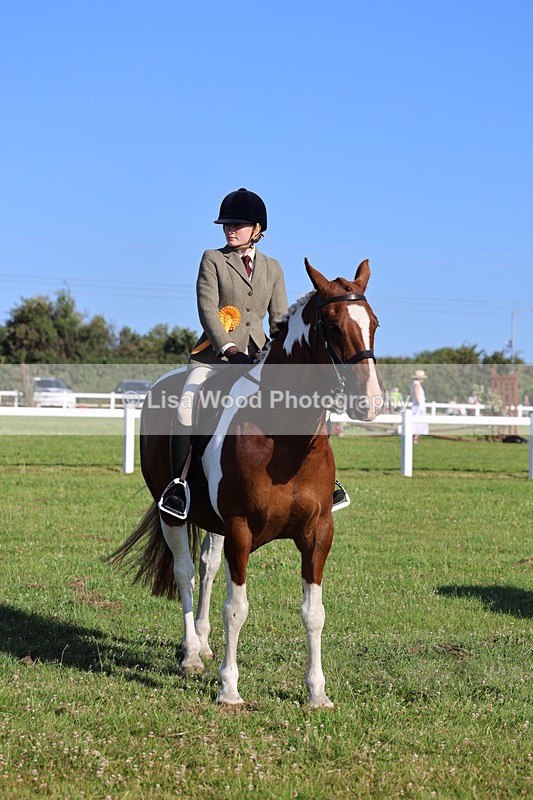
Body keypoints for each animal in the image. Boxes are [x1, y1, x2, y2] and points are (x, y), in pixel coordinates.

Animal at [109, 258, 382, 707]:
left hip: (214, 523)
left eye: (373, 323)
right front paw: (229, 690)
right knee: (186, 572)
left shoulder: (318, 533)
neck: (285, 442)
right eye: (332, 325)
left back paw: (203, 643)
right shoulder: (240, 530)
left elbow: (314, 612)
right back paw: (191, 654)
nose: (371, 402)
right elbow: (236, 608)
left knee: (207, 566)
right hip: (173, 515)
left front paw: (317, 693)